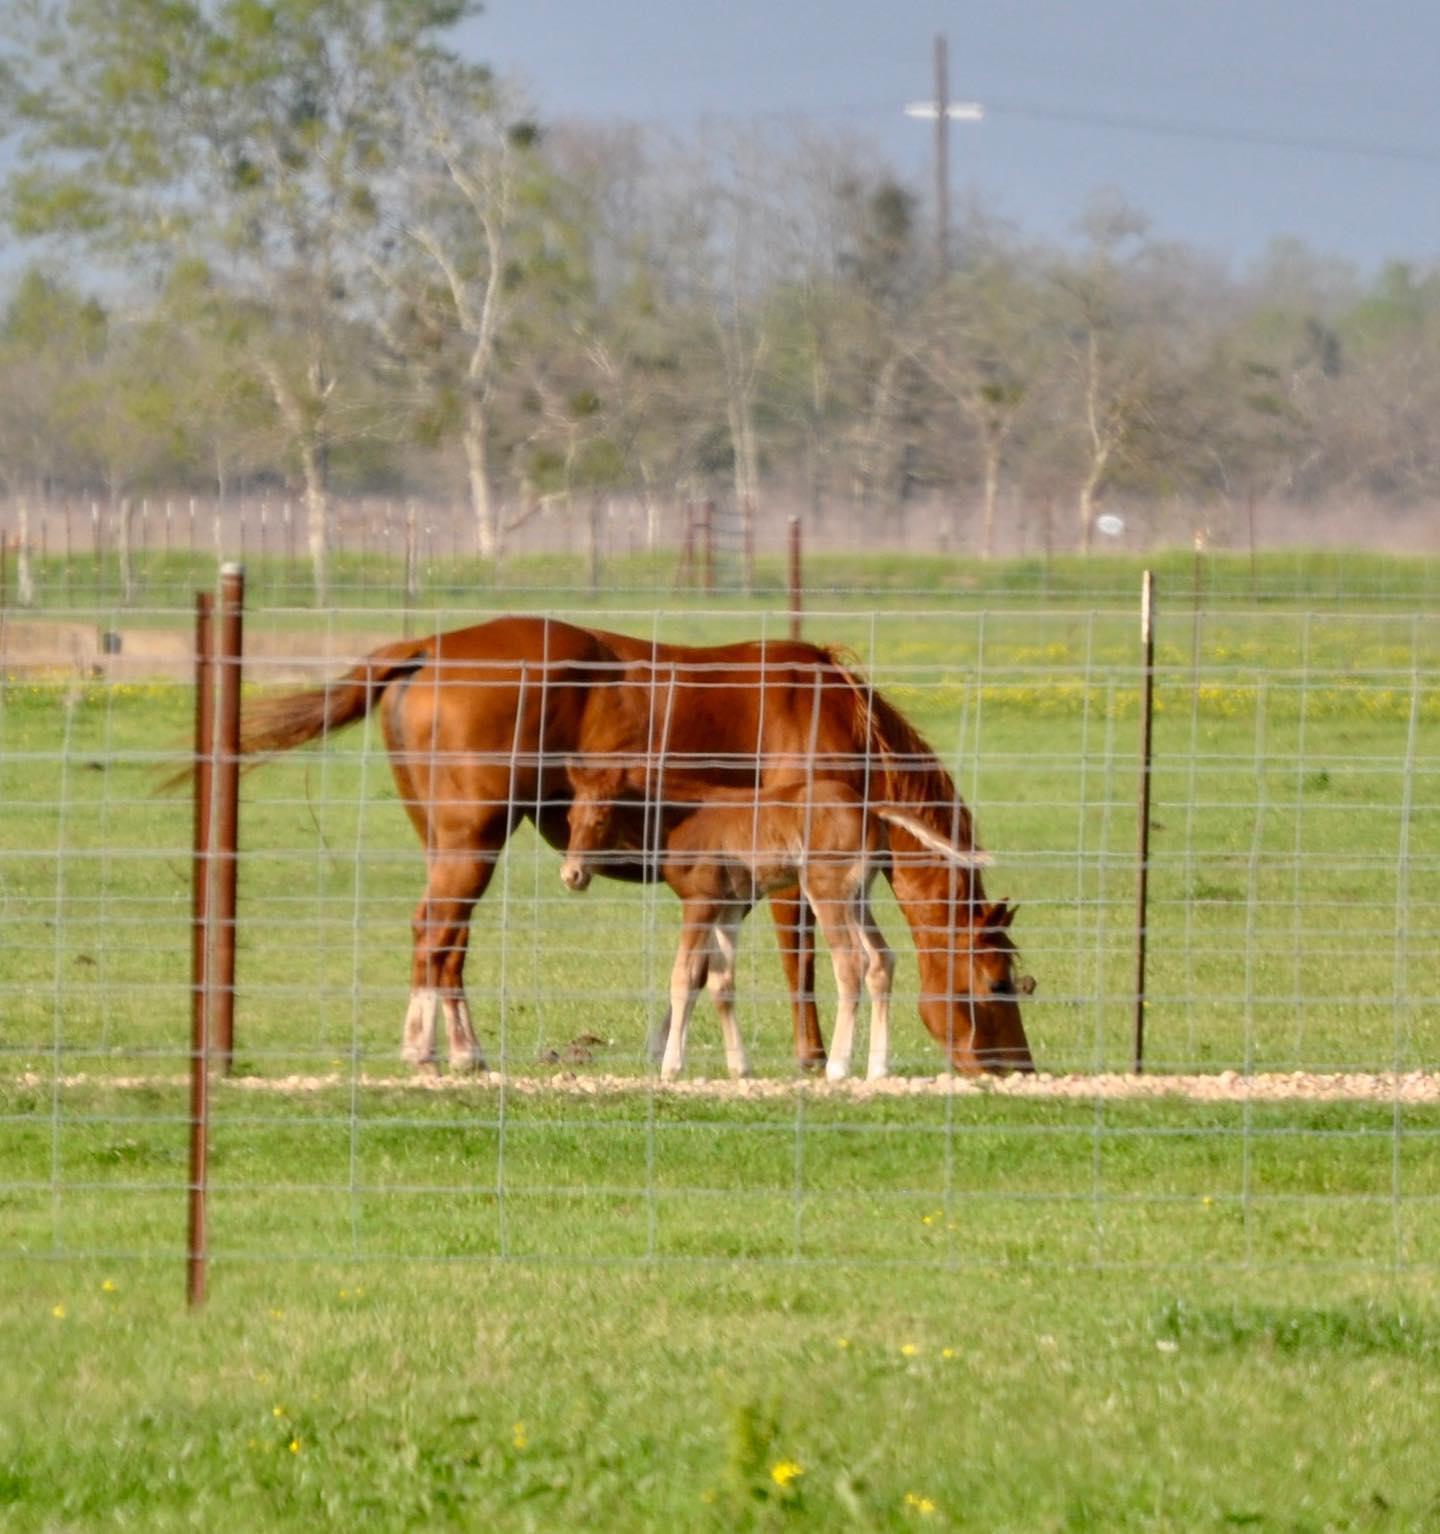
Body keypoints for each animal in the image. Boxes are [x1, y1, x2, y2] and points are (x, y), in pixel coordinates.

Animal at [236, 616, 1036, 1073]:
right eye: (998, 983)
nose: (1014, 1067)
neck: (832, 714)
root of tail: (427, 649)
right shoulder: (794, 876)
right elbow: (799, 959)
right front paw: (812, 1058)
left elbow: (708, 966)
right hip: (473, 845)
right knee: (434, 934)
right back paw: (429, 1049)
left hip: (456, 848)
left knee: (447, 945)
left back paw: (464, 1049)